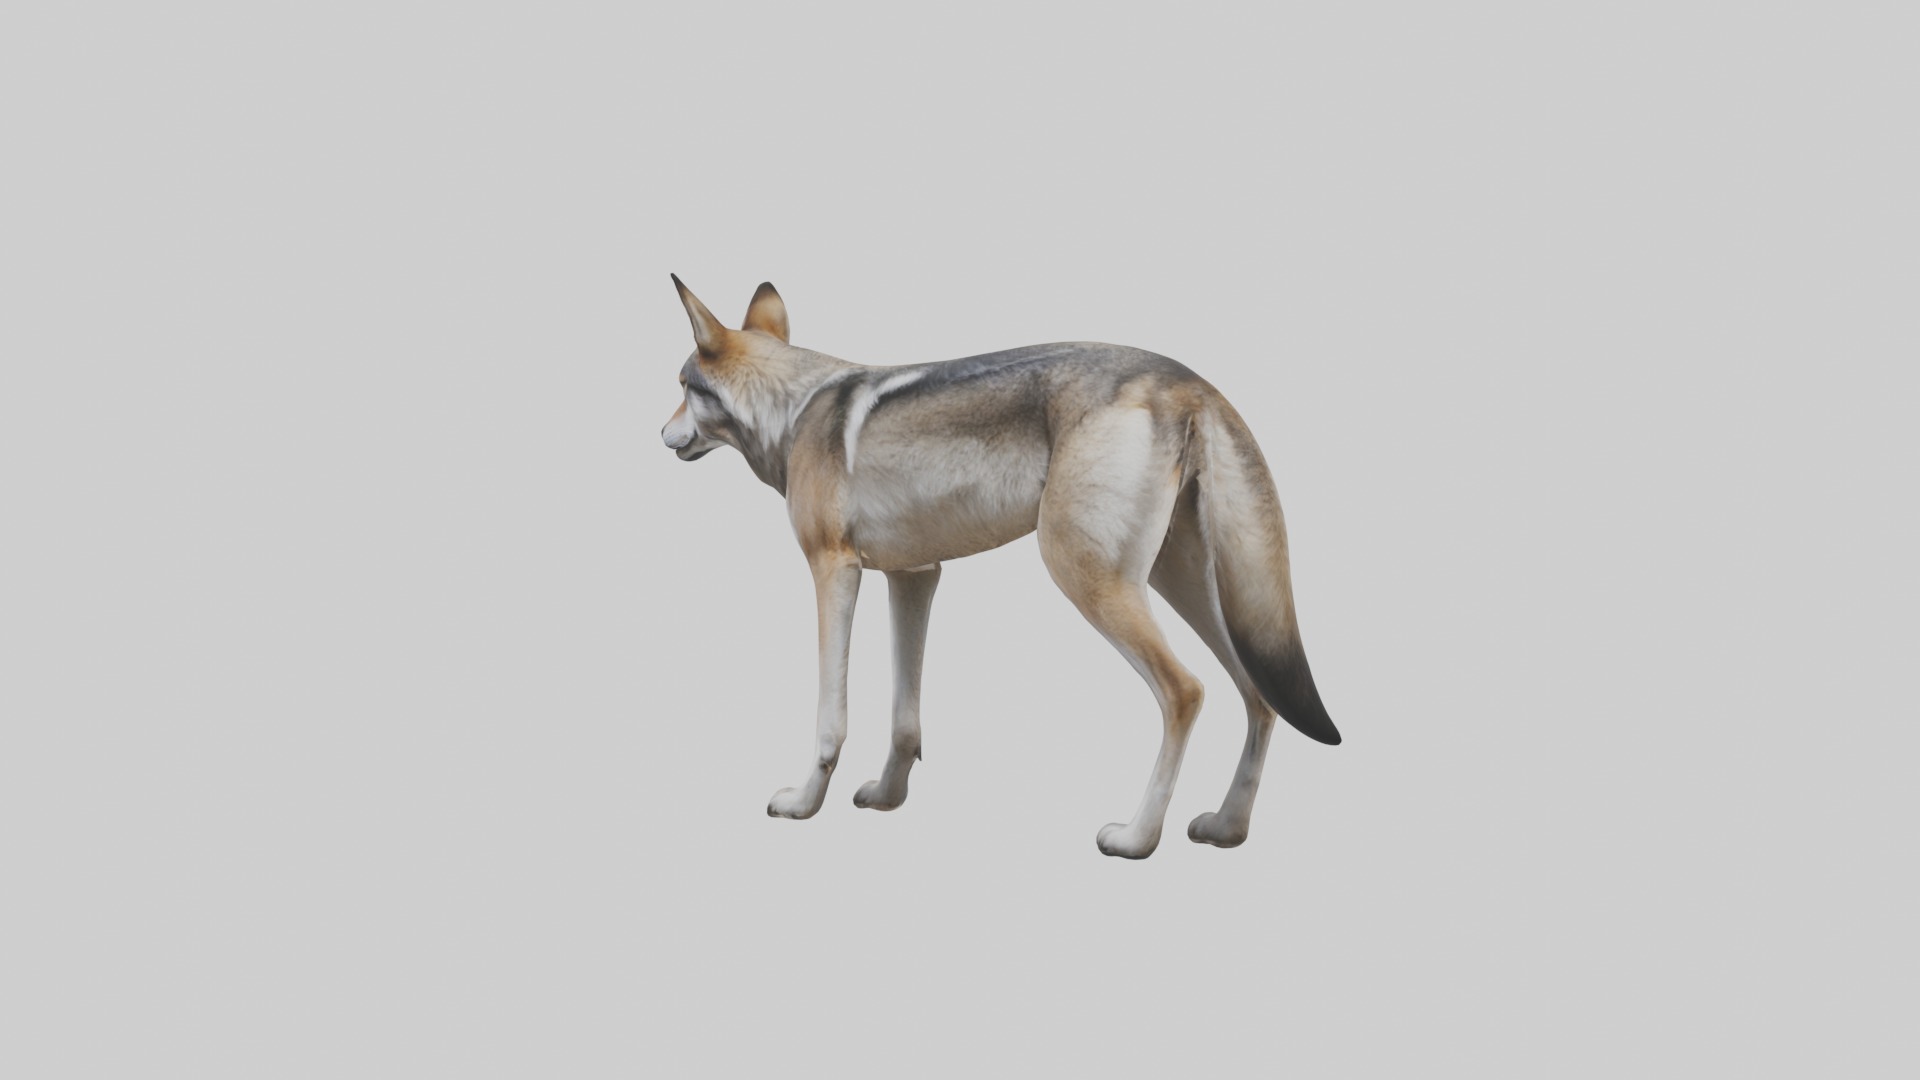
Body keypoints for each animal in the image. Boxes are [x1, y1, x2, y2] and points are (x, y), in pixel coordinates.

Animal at [659, 276, 1341, 858]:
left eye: (681, 385)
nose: (660, 434)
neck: (793, 407)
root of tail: (1187, 379)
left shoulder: (834, 573)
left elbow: (832, 717)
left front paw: (804, 803)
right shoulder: (915, 576)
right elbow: (905, 719)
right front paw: (887, 798)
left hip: (1086, 577)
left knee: (1187, 691)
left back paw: (1137, 837)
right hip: (1193, 594)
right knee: (1259, 697)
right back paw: (1227, 827)